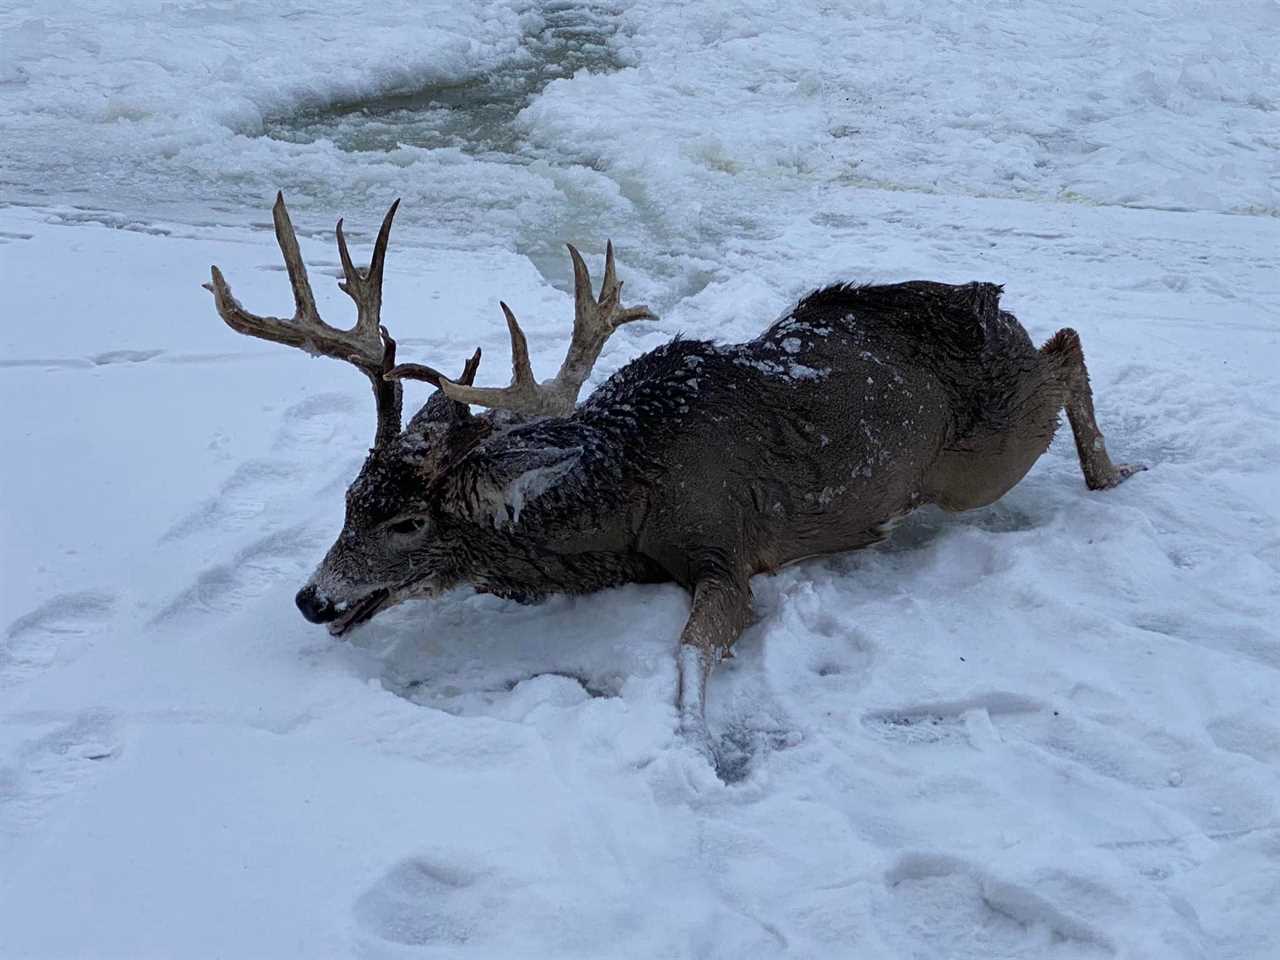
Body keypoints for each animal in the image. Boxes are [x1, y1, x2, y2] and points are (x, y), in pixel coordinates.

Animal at [202, 197, 1152, 742]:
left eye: (407, 521)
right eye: (348, 500)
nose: (310, 598)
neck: (630, 492)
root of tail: (990, 302)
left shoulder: (726, 550)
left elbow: (693, 655)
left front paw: (694, 754)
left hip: (977, 462)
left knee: (1067, 345)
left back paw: (1117, 476)